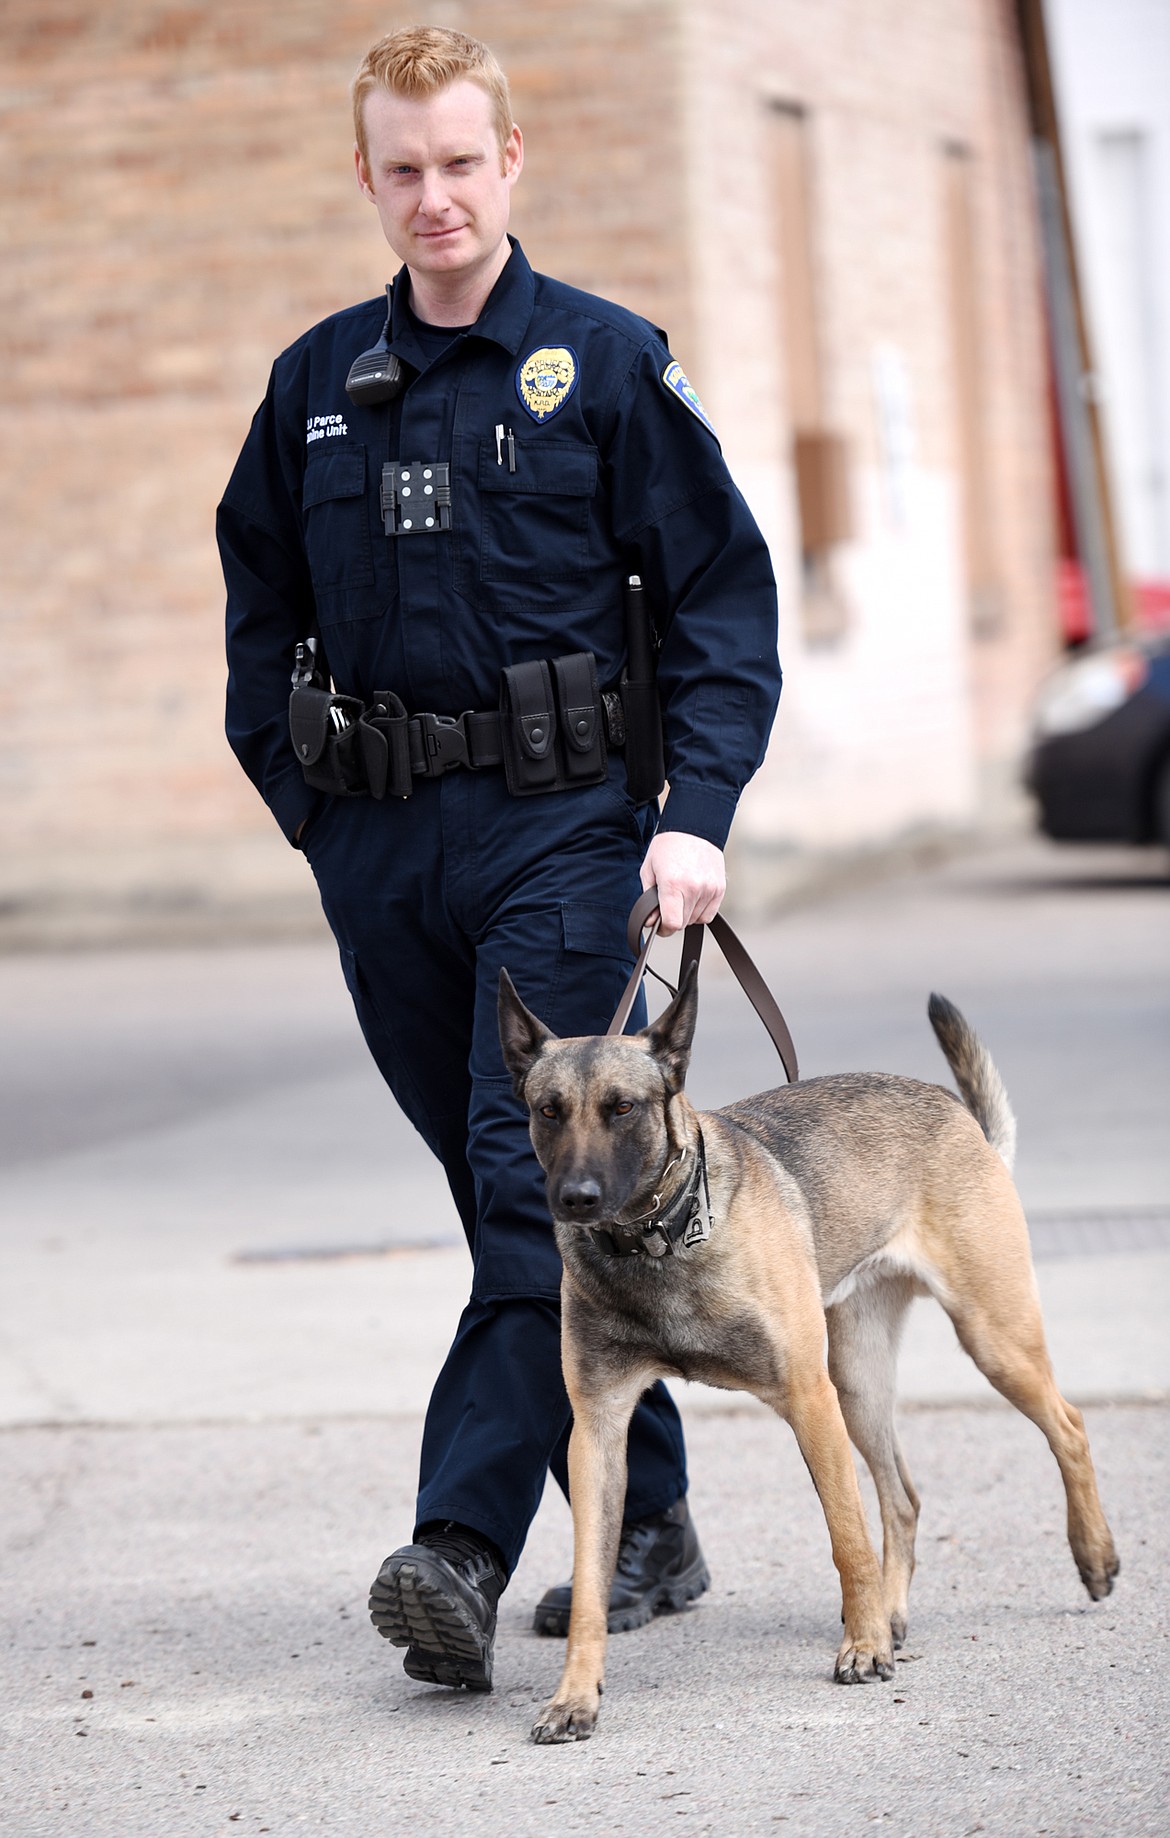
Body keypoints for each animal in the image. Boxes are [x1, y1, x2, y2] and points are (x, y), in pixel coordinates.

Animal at [495, 970, 1116, 1742]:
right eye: (548, 1111)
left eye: (623, 1108)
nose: (574, 1199)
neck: (660, 1243)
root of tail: (957, 1112)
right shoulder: (599, 1434)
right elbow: (588, 1586)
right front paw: (574, 1695)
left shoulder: (807, 1401)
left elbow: (846, 1537)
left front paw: (863, 1646)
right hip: (859, 1383)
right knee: (902, 1497)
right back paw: (894, 1610)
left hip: (987, 1339)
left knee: (1067, 1426)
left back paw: (1091, 1556)